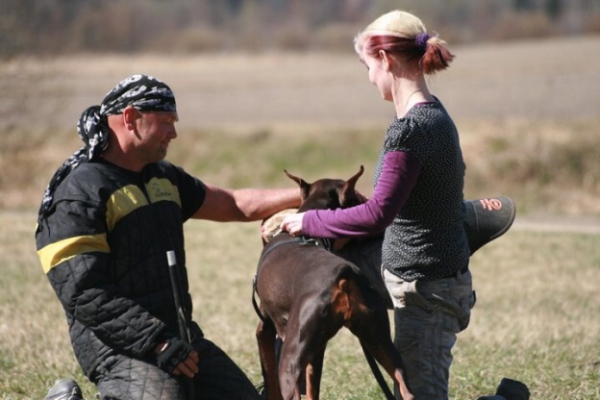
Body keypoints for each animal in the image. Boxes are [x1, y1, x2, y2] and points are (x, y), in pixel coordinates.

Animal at [252, 167, 412, 400]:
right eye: (359, 198)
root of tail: (343, 277)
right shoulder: (318, 347)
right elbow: (312, 387)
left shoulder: (265, 327)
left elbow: (270, 381)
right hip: (379, 337)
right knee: (405, 385)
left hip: (291, 356)